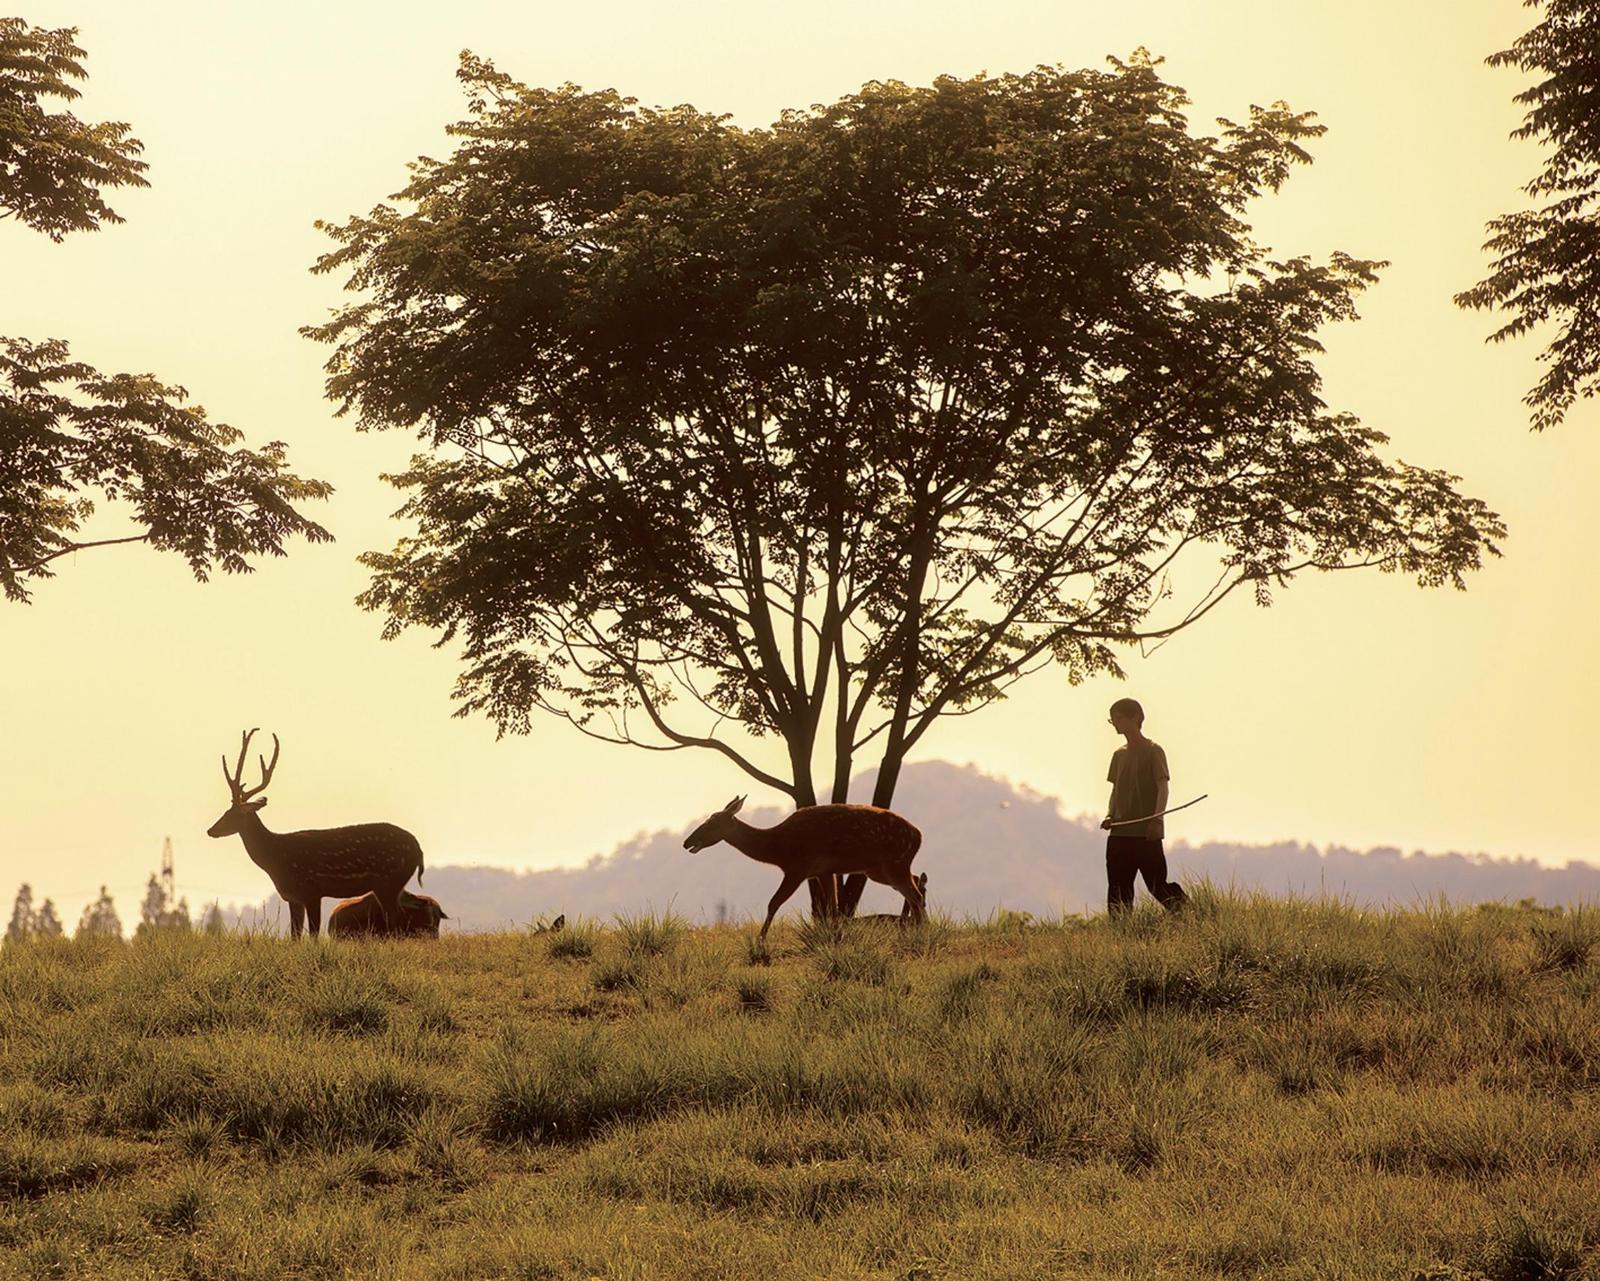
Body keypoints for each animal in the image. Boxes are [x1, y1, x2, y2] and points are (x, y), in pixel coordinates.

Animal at [206, 729, 425, 939]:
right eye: (226, 811)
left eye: (232, 814)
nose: (210, 830)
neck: (276, 859)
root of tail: (418, 849)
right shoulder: (293, 897)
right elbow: (295, 937)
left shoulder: (311, 890)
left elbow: (313, 935)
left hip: (389, 880)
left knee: (397, 922)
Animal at [682, 796, 925, 938]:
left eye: (712, 822)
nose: (686, 842)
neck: (777, 848)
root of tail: (919, 835)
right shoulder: (823, 871)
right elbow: (832, 909)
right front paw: (835, 937)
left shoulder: (798, 868)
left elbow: (774, 902)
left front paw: (761, 940)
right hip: (879, 870)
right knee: (915, 883)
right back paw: (912, 928)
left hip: (893, 864)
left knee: (915, 894)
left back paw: (920, 932)